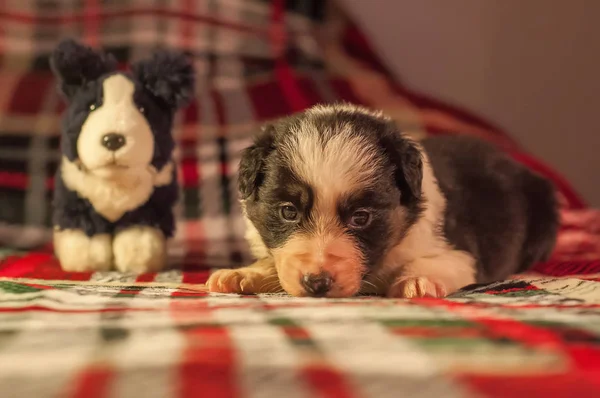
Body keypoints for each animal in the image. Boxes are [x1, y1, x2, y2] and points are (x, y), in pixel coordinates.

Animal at [209, 104, 560, 296]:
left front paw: (417, 280)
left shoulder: (462, 252)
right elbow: (274, 261)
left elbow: (437, 262)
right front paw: (241, 274)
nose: (317, 284)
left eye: (361, 217)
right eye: (288, 212)